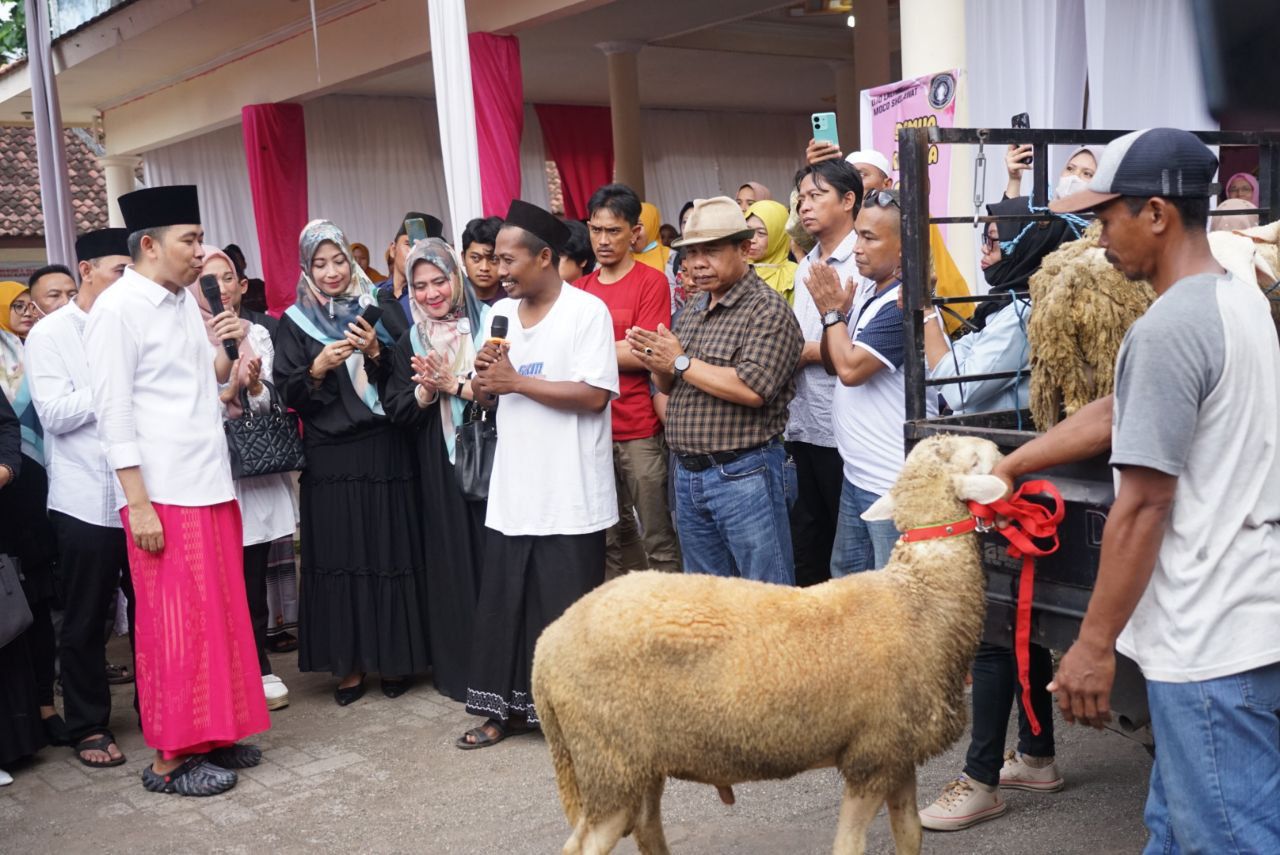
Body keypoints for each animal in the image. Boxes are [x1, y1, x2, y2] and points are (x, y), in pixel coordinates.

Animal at [529, 435, 1008, 855]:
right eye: (964, 457)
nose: (998, 447)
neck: (919, 595)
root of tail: (547, 645)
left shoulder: (898, 752)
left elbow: (909, 835)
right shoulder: (871, 758)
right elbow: (848, 845)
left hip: (636, 764)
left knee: (646, 827)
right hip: (610, 761)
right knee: (584, 845)